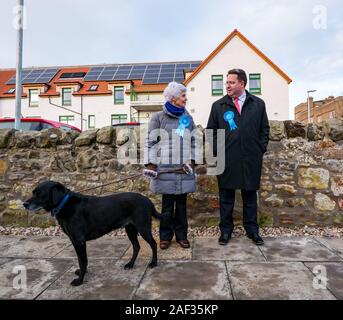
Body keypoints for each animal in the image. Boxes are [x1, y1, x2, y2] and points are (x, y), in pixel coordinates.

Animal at [24, 181, 161, 286]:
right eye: (33, 192)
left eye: (40, 194)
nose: (24, 204)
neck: (65, 204)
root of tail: (147, 200)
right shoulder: (75, 241)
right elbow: (81, 260)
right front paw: (81, 273)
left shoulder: (79, 240)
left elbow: (83, 261)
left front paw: (79, 281)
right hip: (130, 229)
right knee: (136, 247)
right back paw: (130, 264)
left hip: (143, 228)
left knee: (153, 244)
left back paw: (154, 263)